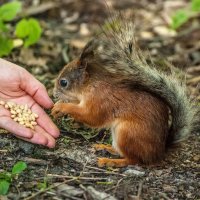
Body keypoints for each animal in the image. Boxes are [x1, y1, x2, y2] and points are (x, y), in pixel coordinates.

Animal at [51, 17, 198, 167]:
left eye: (64, 82)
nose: (54, 94)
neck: (91, 85)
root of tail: (159, 152)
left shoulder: (101, 101)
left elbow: (91, 117)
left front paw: (61, 107)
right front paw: (58, 106)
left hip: (127, 133)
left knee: (133, 160)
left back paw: (111, 161)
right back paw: (105, 147)